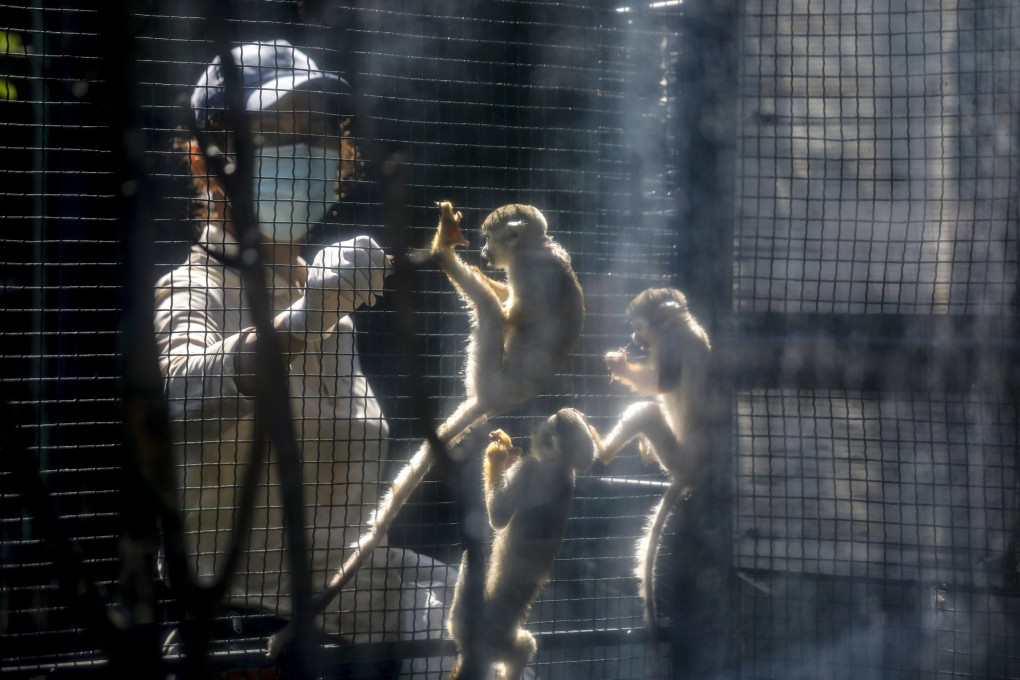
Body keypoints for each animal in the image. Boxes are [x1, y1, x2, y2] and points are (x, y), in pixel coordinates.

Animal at [267, 200, 587, 652]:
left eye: (490, 240)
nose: (485, 253)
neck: (537, 248)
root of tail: (497, 399)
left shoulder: (529, 269)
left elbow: (513, 316)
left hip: (487, 372)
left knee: (493, 315)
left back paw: (442, 253)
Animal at [448, 409, 595, 680]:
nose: (535, 426)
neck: (561, 466)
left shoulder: (529, 469)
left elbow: (498, 517)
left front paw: (497, 455)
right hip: (507, 642)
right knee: (525, 646)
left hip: (466, 621)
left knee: (471, 559)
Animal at [599, 285, 714, 644]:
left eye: (639, 326)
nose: (635, 338)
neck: (679, 325)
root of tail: (691, 475)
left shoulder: (673, 345)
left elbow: (663, 384)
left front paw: (620, 365)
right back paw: (643, 449)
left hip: (677, 457)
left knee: (648, 411)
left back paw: (603, 451)